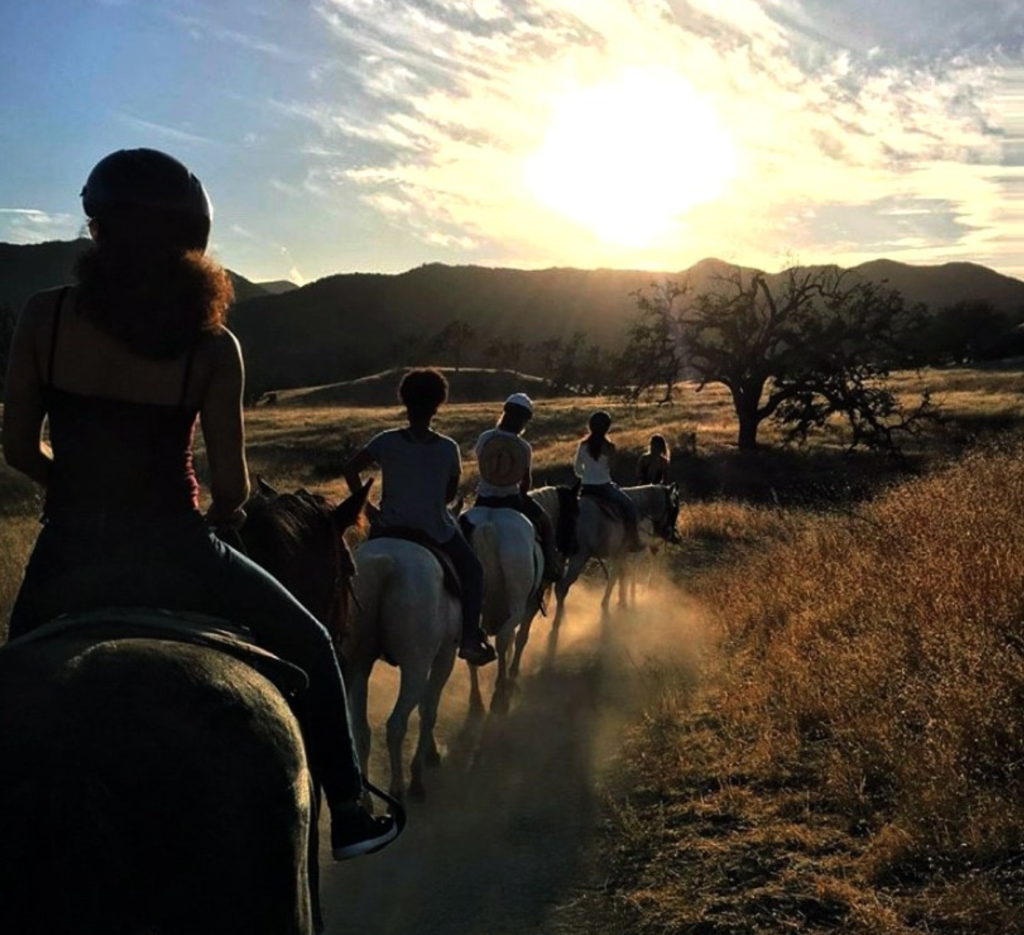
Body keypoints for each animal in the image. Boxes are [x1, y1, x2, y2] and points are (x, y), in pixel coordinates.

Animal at [342, 540, 458, 802]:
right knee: (396, 725)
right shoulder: (445, 655)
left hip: (361, 666)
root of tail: (385, 563)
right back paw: (404, 787)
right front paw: (424, 763)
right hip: (415, 665)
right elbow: (428, 711)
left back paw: (367, 800)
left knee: (361, 730)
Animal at [462, 503, 544, 716]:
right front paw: (512, 672)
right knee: (503, 639)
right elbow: (521, 637)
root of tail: (488, 525)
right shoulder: (530, 605)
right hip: (518, 605)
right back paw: (500, 691)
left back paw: (476, 697)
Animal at [548, 481, 684, 626]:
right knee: (562, 586)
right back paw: (558, 623)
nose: (676, 537)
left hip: (562, 556)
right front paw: (608, 605)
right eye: (675, 510)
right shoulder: (620, 553)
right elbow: (615, 577)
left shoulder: (618, 553)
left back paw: (563, 616)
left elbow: (620, 575)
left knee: (558, 585)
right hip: (579, 557)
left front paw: (621, 602)